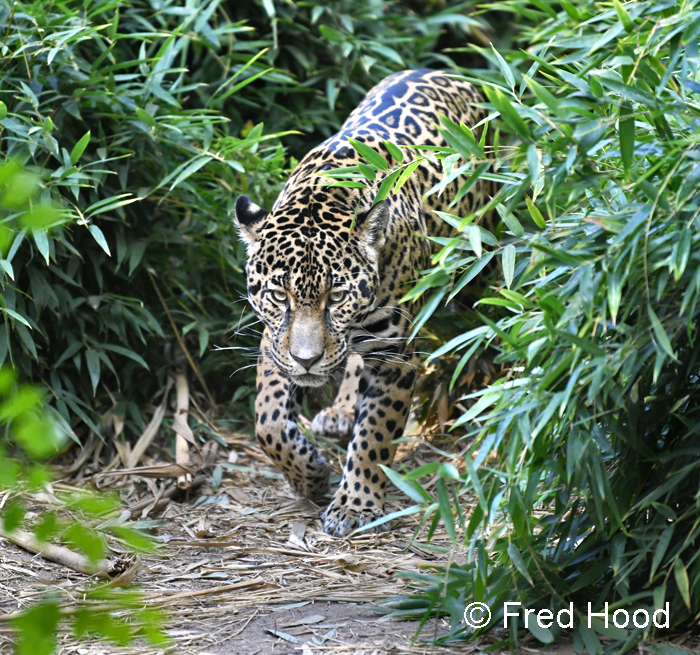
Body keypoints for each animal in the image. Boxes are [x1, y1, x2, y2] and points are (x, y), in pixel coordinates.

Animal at [234, 69, 494, 537]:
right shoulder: (273, 341)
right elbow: (269, 421)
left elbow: (376, 432)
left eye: (336, 296)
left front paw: (355, 504)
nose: (306, 361)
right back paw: (338, 413)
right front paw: (311, 475)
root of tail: (450, 72)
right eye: (279, 295)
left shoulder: (394, 353)